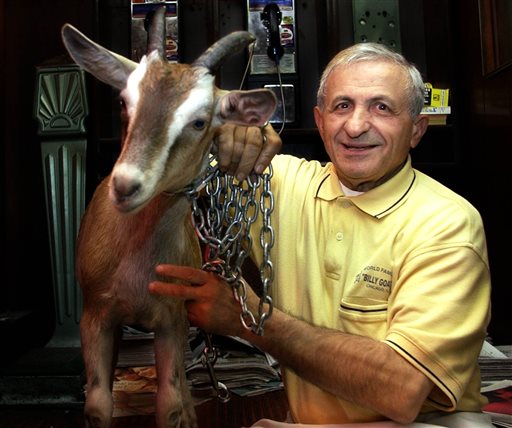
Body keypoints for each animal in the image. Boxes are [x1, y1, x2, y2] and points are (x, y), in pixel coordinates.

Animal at [61, 7, 278, 428]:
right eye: (124, 101)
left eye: (199, 121)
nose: (125, 185)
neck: (135, 269)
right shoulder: (96, 315)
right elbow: (98, 404)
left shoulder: (172, 321)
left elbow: (171, 403)